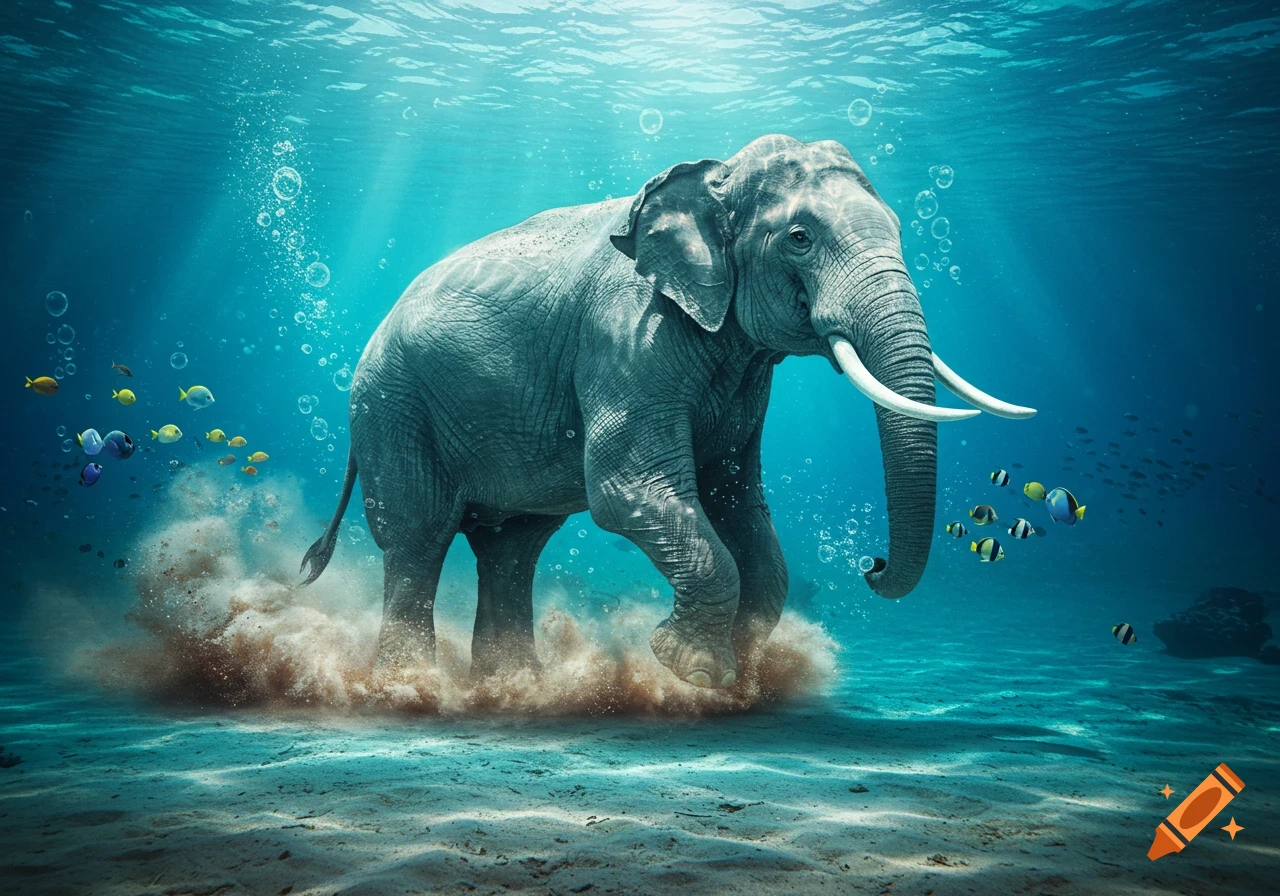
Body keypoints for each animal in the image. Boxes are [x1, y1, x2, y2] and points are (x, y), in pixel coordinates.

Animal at [300, 134, 1034, 689]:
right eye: (799, 238)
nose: (872, 566)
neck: (716, 175)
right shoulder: (626, 337)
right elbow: (629, 491)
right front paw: (692, 669)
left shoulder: (741, 378)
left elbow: (739, 505)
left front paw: (739, 670)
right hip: (392, 405)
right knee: (418, 536)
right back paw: (412, 687)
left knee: (513, 547)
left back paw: (514, 687)